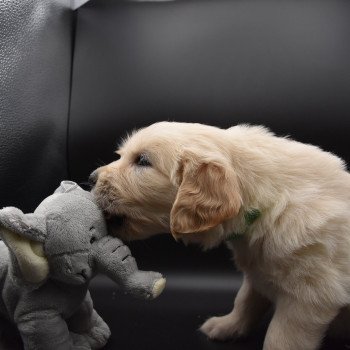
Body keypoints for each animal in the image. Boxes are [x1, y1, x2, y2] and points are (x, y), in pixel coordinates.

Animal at [91, 121, 350, 350]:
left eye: (143, 161)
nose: (92, 178)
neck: (268, 202)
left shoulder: (310, 296)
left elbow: (280, 339)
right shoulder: (257, 271)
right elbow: (245, 300)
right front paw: (226, 326)